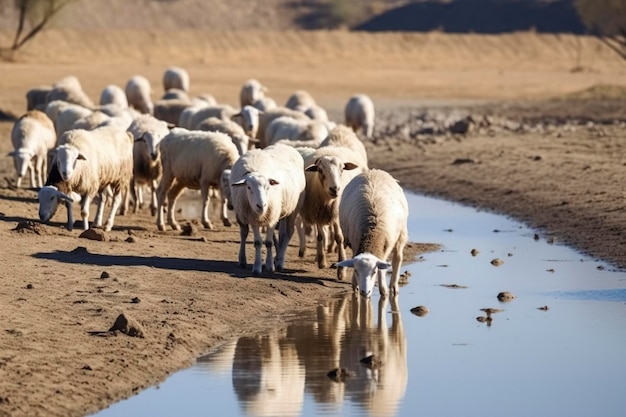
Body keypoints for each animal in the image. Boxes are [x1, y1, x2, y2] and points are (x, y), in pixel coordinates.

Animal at [229, 143, 308, 276]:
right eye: (248, 187)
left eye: (268, 187)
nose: (261, 206)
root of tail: (284, 145)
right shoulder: (253, 217)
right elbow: (258, 242)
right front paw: (257, 267)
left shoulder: (272, 217)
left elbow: (269, 242)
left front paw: (270, 266)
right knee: (249, 234)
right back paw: (246, 260)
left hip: (293, 209)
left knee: (289, 232)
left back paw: (280, 261)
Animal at [300, 145, 364, 278]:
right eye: (320, 170)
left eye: (342, 169)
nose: (335, 189)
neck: (328, 202)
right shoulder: (317, 214)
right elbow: (320, 236)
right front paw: (321, 261)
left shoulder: (336, 215)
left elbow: (339, 238)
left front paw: (341, 270)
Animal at [336, 167, 410, 298]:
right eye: (356, 270)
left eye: (374, 271)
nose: (365, 292)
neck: (371, 233)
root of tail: (374, 171)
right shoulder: (355, 242)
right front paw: (355, 285)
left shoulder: (386, 246)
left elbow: (383, 268)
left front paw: (384, 290)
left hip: (401, 234)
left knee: (397, 258)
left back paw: (394, 287)